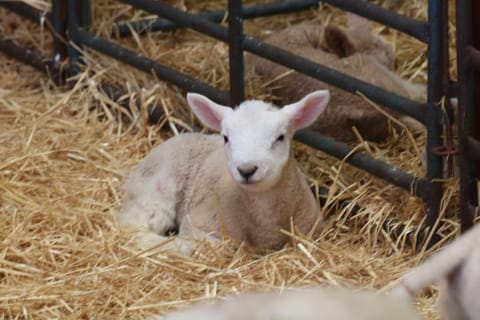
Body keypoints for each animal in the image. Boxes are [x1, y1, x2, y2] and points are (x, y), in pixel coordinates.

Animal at [119, 89, 330, 252]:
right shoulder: (198, 224)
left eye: (280, 137)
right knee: (131, 225)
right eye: (226, 138)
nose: (246, 170)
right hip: (156, 190)